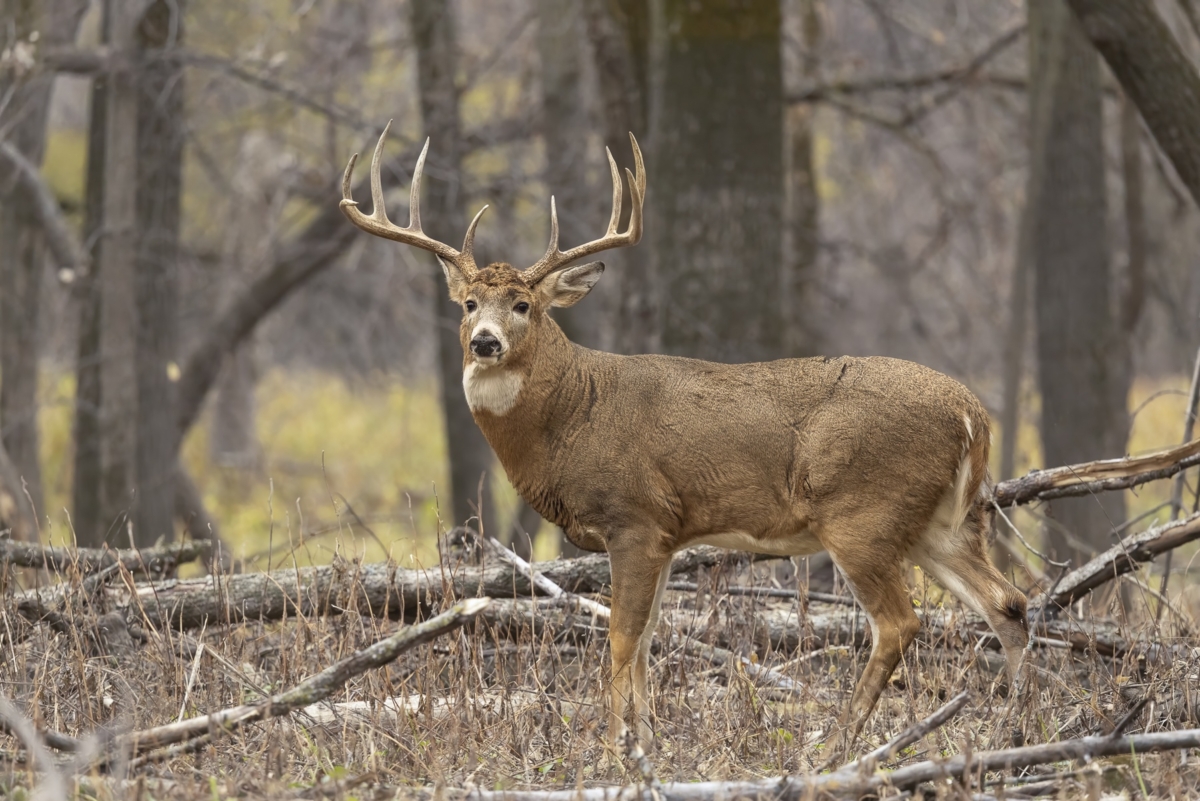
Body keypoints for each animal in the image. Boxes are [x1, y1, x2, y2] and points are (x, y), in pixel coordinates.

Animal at [340, 122, 1030, 760]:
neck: (573, 414)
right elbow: (649, 636)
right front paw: (647, 742)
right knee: (1009, 601)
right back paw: (1015, 727)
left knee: (899, 622)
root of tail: (972, 413)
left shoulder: (634, 517)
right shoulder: (669, 532)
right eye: (468, 304)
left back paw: (835, 745)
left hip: (864, 511)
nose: (485, 341)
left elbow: (621, 635)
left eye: (523, 305)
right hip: (943, 520)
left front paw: (612, 749)